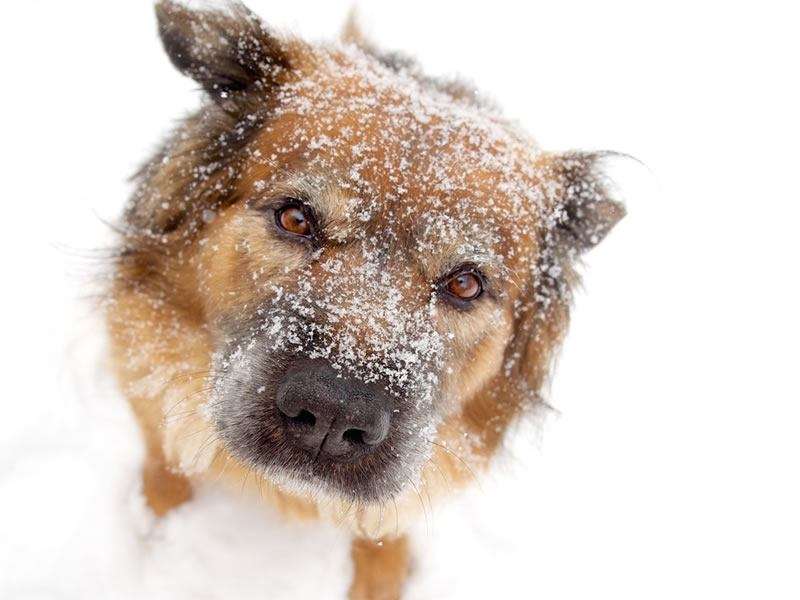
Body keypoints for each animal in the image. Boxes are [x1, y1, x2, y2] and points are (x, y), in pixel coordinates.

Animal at [103, 2, 624, 596]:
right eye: (295, 217)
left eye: (465, 283)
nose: (333, 413)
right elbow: (163, 467)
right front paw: (154, 533)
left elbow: (384, 533)